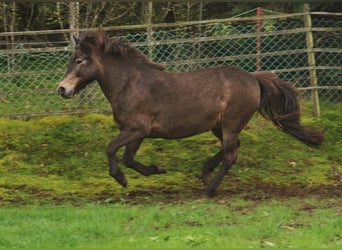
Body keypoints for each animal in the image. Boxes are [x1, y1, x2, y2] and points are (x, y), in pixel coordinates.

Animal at [57, 28, 324, 197]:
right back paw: (205, 173)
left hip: (231, 123)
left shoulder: (137, 129)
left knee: (231, 155)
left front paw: (121, 178)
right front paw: (156, 170)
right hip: (220, 126)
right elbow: (128, 158)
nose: (61, 89)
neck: (131, 83)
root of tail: (253, 78)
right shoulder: (137, 132)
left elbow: (111, 149)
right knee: (232, 149)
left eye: (79, 60)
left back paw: (209, 189)